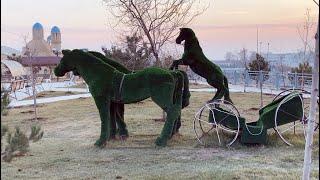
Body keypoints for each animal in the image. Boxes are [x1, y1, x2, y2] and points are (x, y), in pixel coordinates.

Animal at [53, 48, 186, 146]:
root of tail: (172, 73)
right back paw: (169, 136)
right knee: (176, 111)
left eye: (62, 59)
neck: (98, 73)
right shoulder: (112, 102)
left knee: (172, 112)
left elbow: (105, 118)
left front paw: (101, 142)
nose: (55, 70)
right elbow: (113, 118)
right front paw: (113, 136)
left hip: (161, 98)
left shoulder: (101, 100)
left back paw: (161, 140)